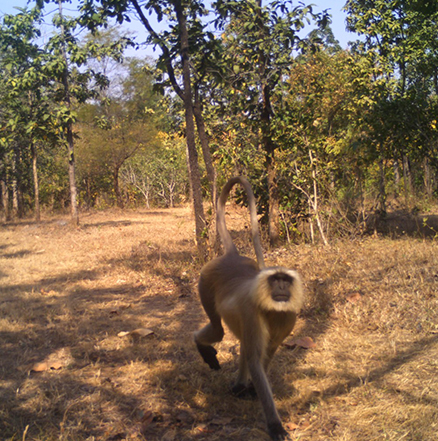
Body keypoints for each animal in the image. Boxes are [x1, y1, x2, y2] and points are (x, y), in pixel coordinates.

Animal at [193, 176, 302, 440]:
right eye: (275, 279)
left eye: (286, 280)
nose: (281, 286)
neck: (273, 309)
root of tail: (232, 256)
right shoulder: (253, 312)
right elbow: (255, 359)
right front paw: (275, 425)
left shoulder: (288, 317)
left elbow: (267, 353)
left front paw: (251, 389)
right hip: (205, 281)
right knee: (218, 330)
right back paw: (202, 345)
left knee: (241, 341)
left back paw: (240, 386)